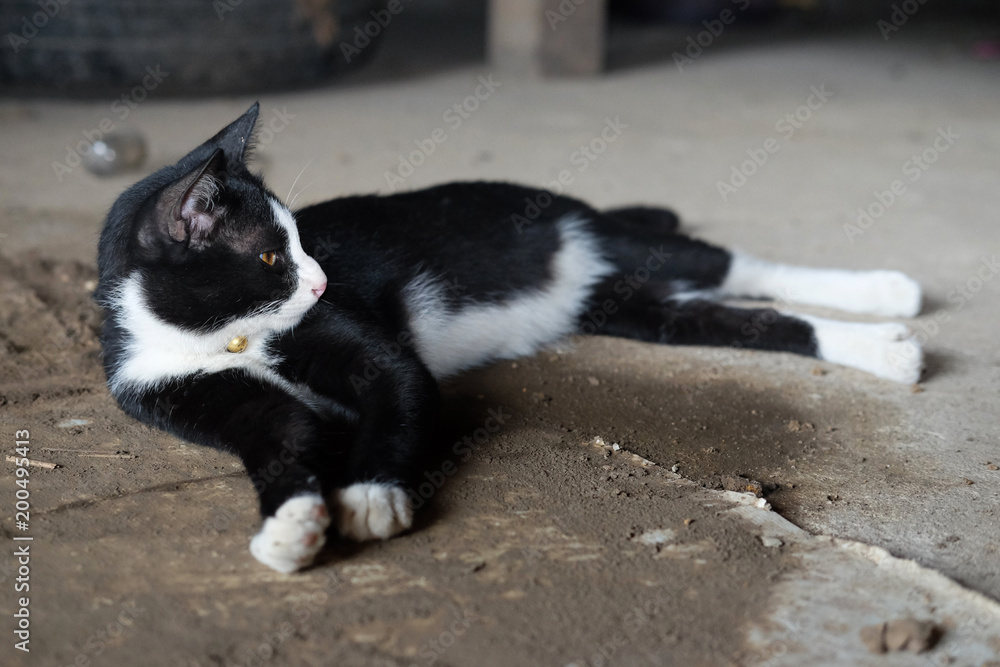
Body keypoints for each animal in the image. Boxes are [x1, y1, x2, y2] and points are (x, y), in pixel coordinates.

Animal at [97, 103, 924, 576]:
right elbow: (284, 435)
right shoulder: (170, 387)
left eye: (305, 241)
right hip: (624, 308)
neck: (225, 338)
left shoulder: (379, 358)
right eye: (273, 257)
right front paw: (291, 525)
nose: (324, 280)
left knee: (732, 262)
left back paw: (891, 295)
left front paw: (370, 496)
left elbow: (399, 387)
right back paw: (886, 342)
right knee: (742, 317)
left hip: (610, 242)